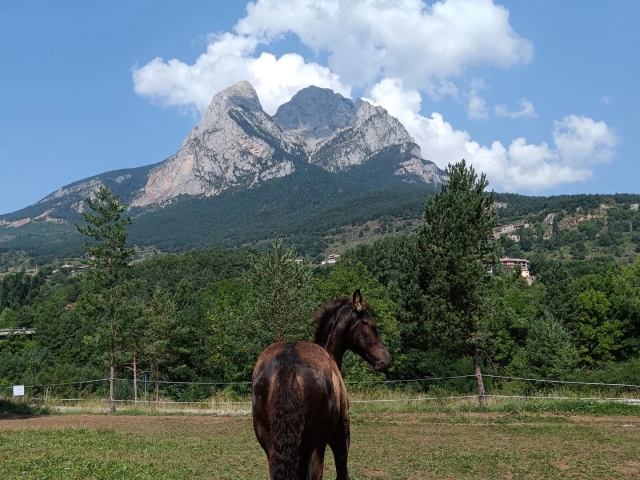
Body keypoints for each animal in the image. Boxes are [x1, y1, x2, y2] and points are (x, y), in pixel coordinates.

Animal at [251, 289, 392, 480]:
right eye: (372, 325)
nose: (386, 359)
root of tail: (288, 363)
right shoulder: (341, 433)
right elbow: (342, 469)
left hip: (272, 447)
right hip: (315, 447)